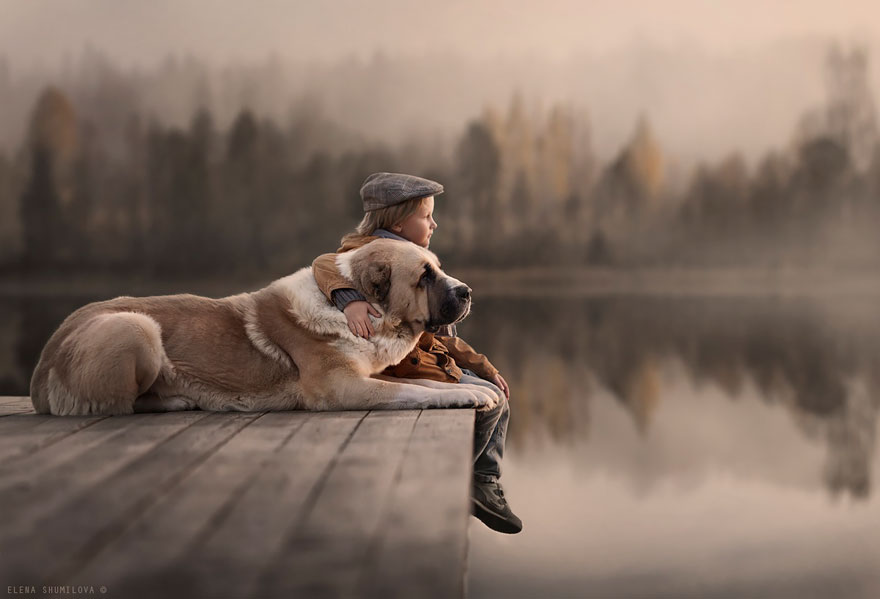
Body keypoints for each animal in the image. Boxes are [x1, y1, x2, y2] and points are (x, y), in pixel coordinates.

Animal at [31, 240, 498, 418]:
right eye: (424, 277)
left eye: (437, 267)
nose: (467, 290)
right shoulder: (341, 387)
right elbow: (411, 391)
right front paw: (464, 394)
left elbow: (420, 383)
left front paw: (478, 390)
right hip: (136, 327)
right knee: (118, 405)